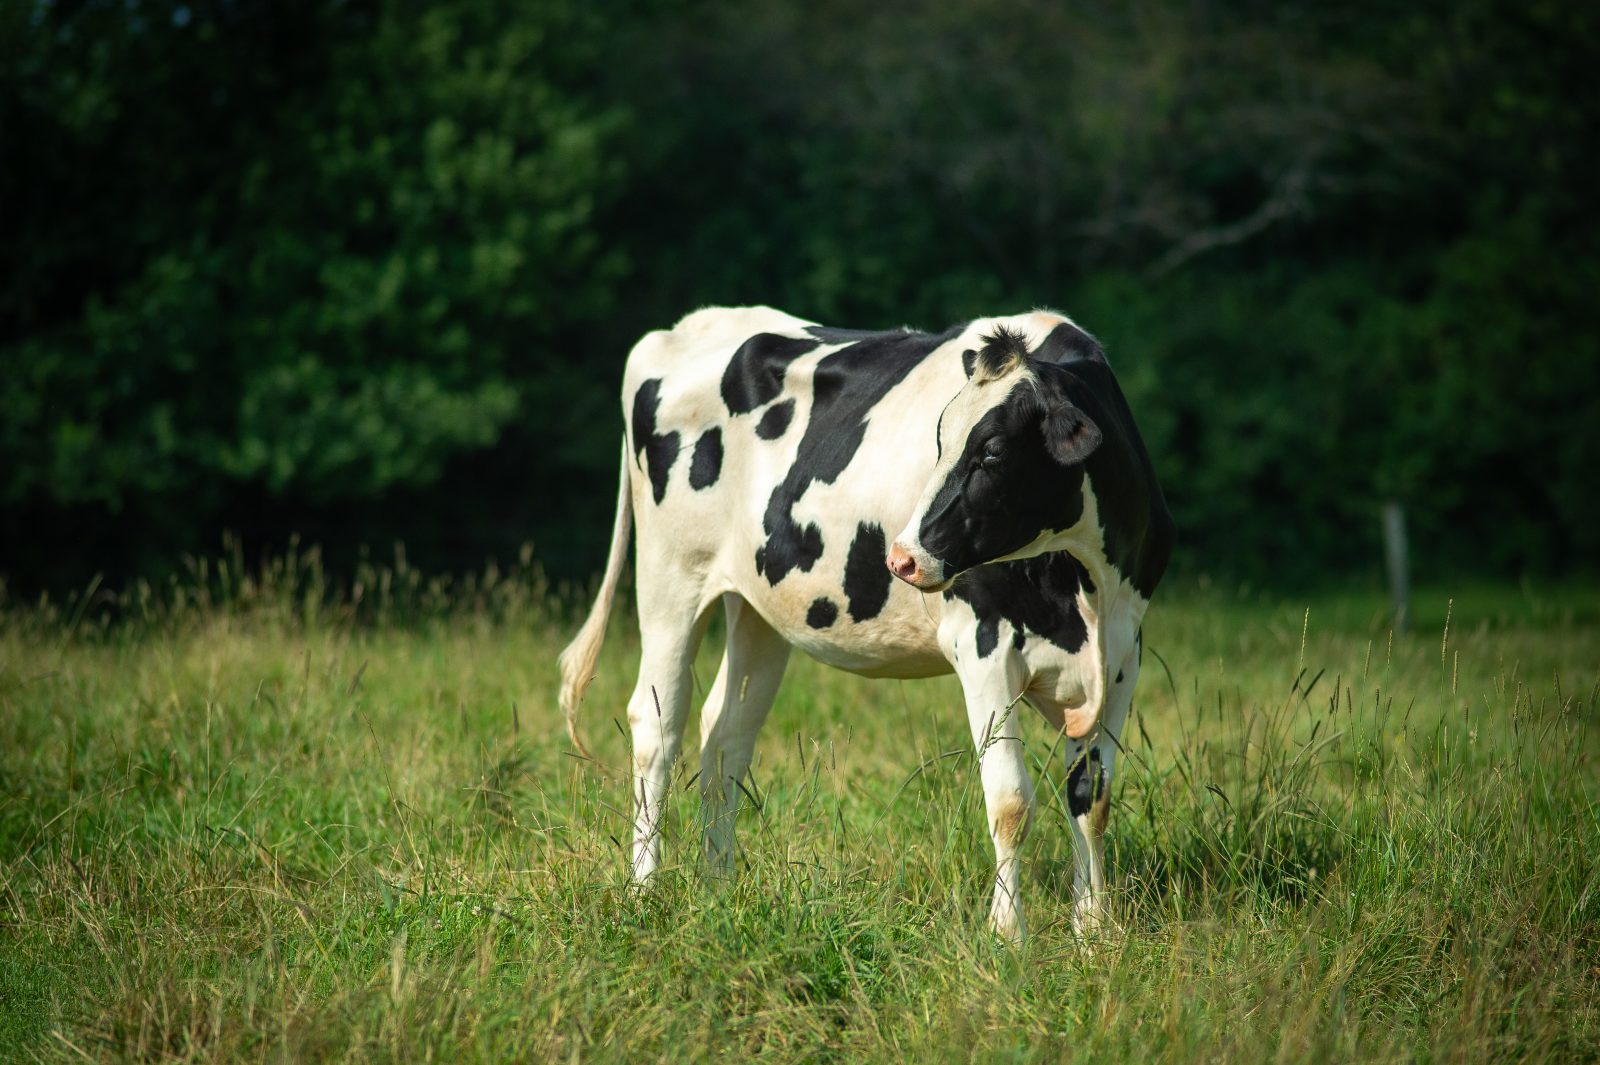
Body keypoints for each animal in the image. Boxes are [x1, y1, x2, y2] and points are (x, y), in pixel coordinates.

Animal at [556, 302, 1171, 933]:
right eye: (939, 438)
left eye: (993, 452)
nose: (902, 557)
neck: (1086, 587)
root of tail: (680, 328)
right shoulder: (983, 647)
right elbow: (1010, 802)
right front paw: (1008, 935)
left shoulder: (1123, 656)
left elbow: (1091, 800)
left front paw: (1093, 932)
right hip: (670, 578)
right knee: (657, 727)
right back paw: (643, 892)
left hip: (757, 607)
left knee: (726, 736)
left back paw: (719, 886)